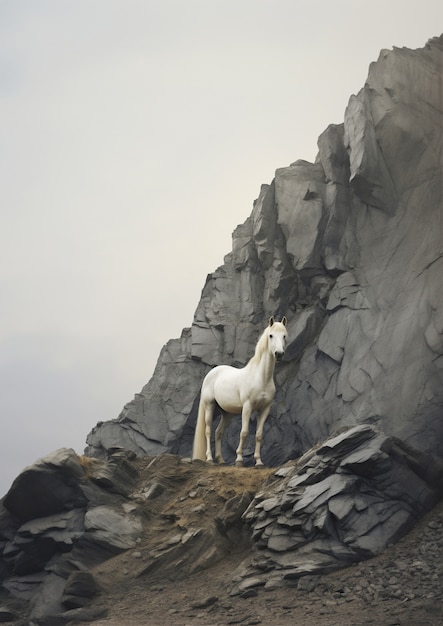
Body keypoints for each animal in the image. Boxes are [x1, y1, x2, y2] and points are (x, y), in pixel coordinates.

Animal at [192, 314, 288, 466]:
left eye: (284, 335)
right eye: (271, 335)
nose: (279, 354)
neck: (261, 378)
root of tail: (211, 373)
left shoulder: (264, 409)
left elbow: (259, 435)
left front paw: (258, 461)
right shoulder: (247, 407)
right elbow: (244, 432)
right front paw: (239, 460)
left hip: (227, 413)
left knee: (218, 432)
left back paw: (221, 460)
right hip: (209, 405)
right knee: (208, 431)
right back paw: (209, 459)